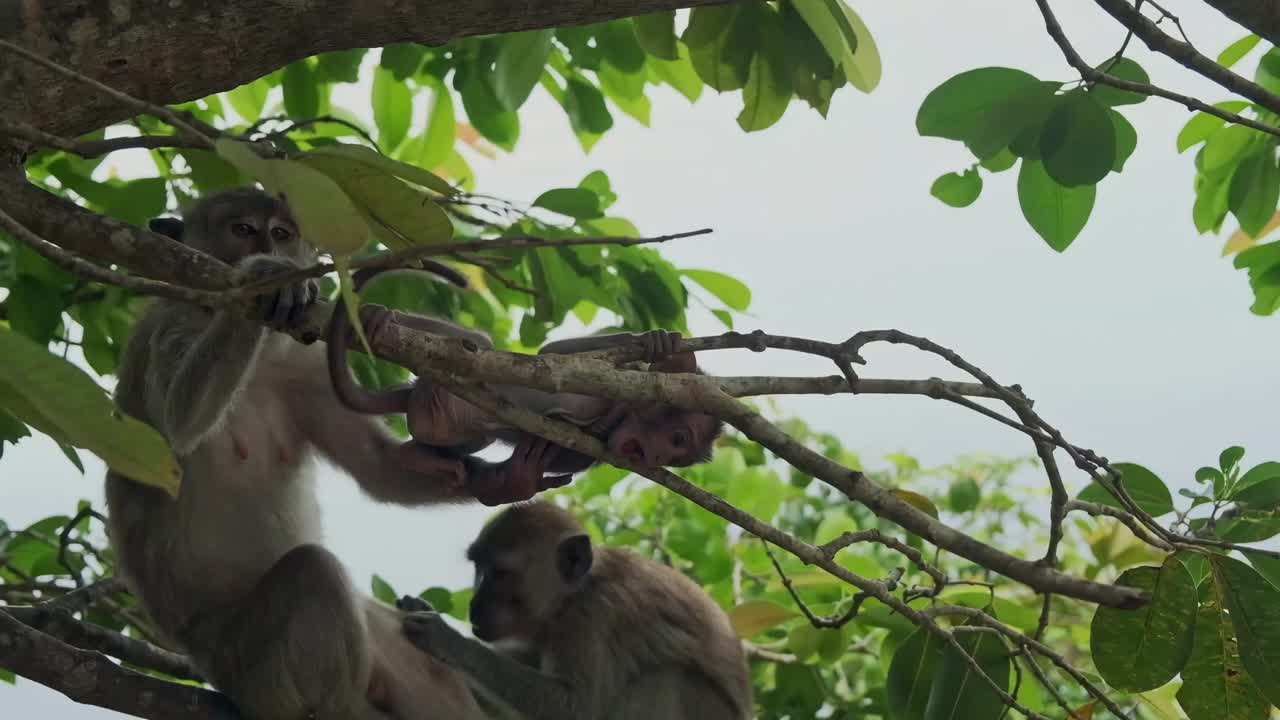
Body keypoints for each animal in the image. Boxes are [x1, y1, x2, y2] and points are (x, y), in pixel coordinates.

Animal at [104, 187, 488, 720]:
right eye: (243, 230)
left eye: (282, 233)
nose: (271, 248)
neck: (263, 360)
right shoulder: (170, 325)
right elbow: (181, 425)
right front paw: (263, 278)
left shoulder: (306, 367)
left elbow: (378, 469)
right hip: (256, 675)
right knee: (314, 571)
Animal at [326, 267, 724, 506]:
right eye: (677, 439)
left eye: (676, 458)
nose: (655, 459)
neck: (617, 412)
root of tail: (415, 393)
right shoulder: (617, 372)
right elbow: (555, 355)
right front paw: (657, 344)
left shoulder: (594, 453)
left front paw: (517, 484)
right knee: (476, 343)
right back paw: (382, 318)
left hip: (442, 421)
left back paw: (414, 457)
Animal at [398, 500, 754, 720]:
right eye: (478, 568)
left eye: (500, 574)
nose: (475, 604)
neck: (576, 592)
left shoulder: (591, 618)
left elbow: (575, 707)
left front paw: (448, 640)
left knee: (666, 678)